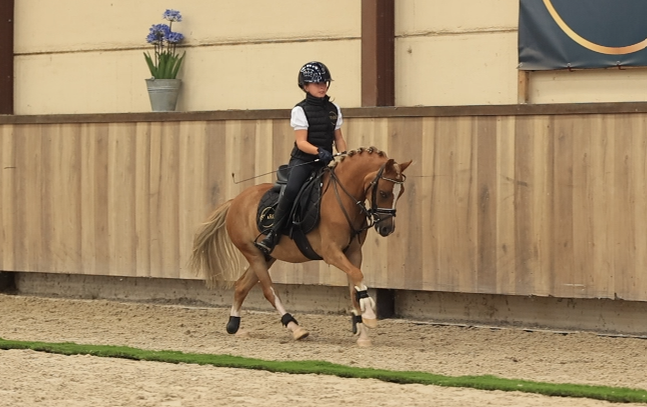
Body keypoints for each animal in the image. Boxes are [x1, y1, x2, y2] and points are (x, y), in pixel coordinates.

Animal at [189, 146, 412, 346]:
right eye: (383, 193)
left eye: (400, 192)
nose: (387, 228)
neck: (342, 200)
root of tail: (235, 201)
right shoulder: (331, 252)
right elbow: (357, 277)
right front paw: (370, 316)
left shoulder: (354, 253)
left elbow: (355, 287)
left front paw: (362, 332)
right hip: (252, 253)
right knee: (269, 290)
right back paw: (295, 328)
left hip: (266, 255)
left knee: (241, 286)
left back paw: (234, 325)